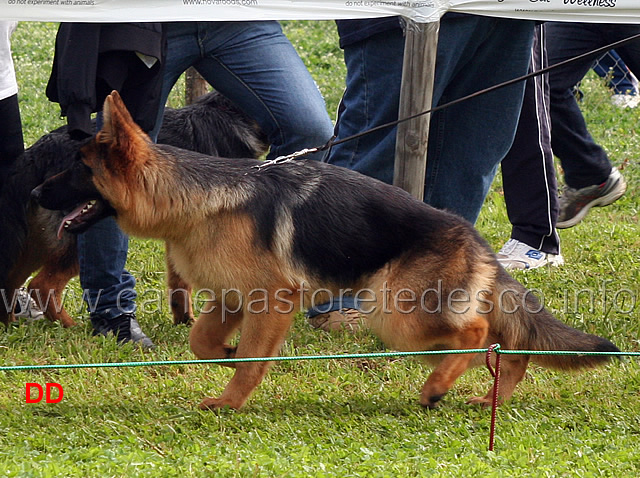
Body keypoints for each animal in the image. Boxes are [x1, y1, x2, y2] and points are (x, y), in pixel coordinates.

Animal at [0, 91, 268, 326]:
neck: (233, 114)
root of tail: (38, 151)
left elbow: (180, 283)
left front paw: (184, 321)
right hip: (72, 238)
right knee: (41, 285)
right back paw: (71, 326)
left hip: (36, 243)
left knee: (10, 280)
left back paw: (10, 325)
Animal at [33, 92, 620, 410]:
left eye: (78, 169)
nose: (35, 191)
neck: (196, 199)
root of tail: (472, 239)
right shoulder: (230, 298)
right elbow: (203, 341)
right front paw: (224, 356)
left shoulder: (271, 300)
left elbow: (249, 361)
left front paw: (228, 402)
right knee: (509, 345)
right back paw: (484, 395)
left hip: (398, 316)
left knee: (477, 336)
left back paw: (436, 388)